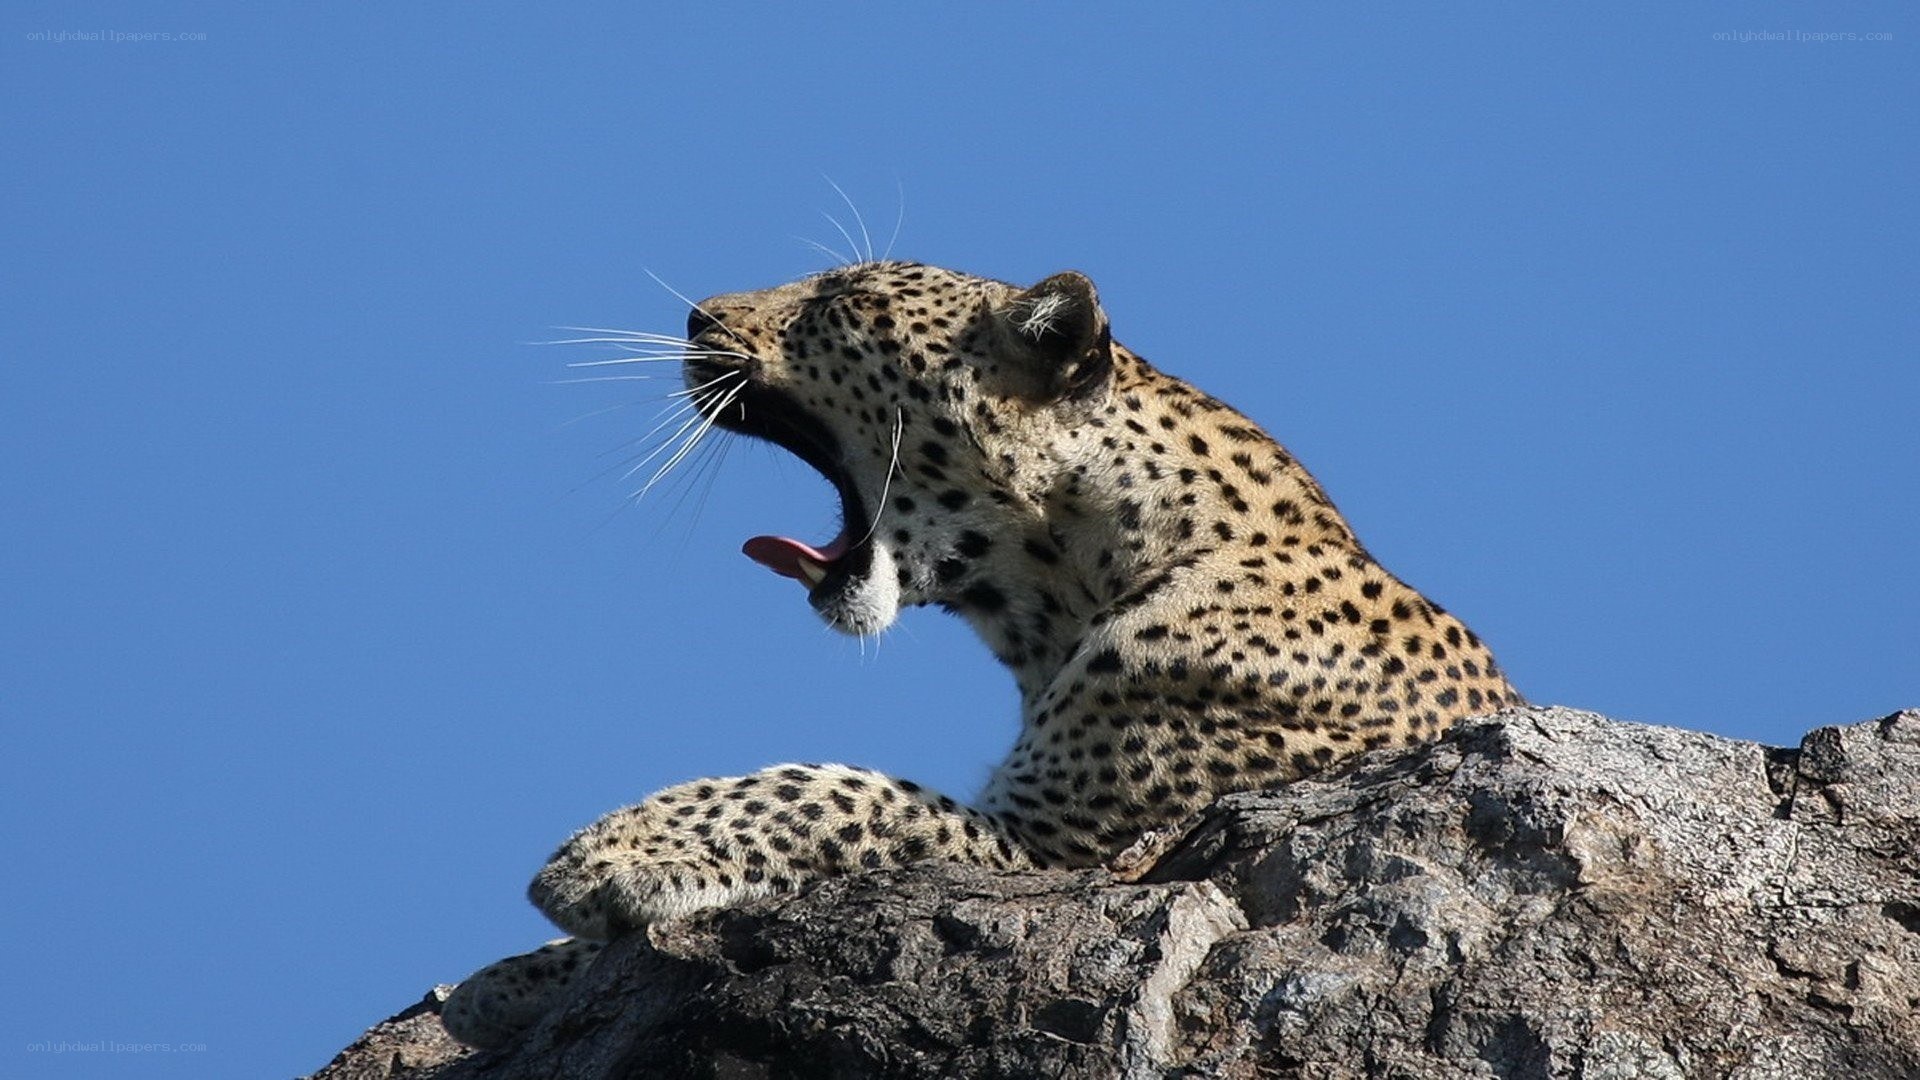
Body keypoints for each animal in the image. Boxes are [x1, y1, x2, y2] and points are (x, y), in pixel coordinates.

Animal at [441, 261, 1521, 1048]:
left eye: (842, 300)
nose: (698, 316)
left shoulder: (1069, 851)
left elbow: (845, 790)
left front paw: (607, 857)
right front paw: (510, 978)